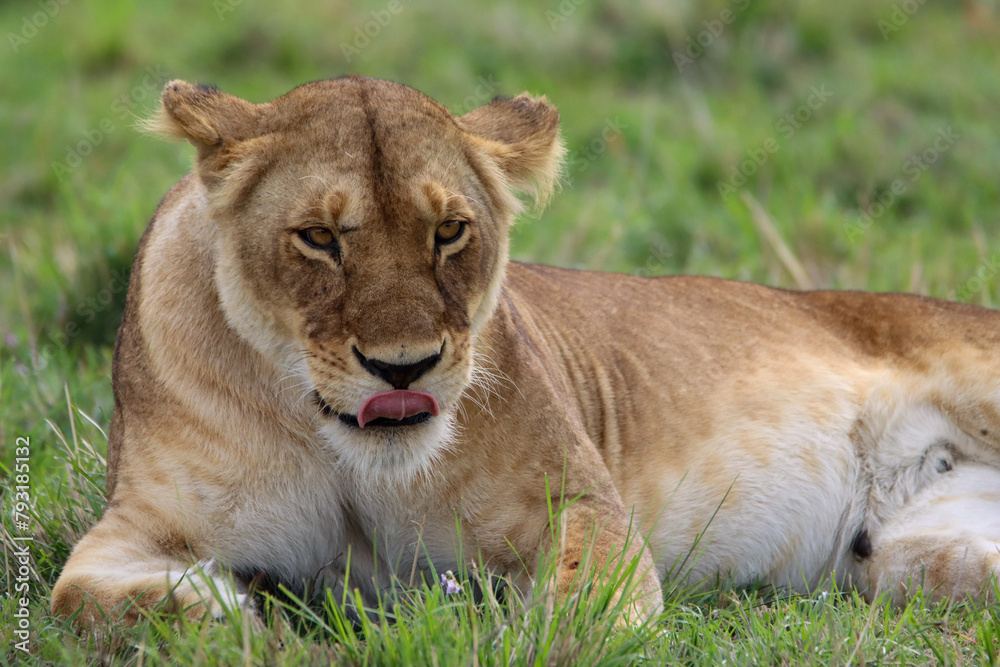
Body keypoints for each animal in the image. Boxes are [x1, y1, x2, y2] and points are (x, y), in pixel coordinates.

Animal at [52, 76, 1000, 628]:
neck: (348, 454)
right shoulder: (137, 522)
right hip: (918, 562)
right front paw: (236, 606)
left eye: (449, 231)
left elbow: (581, 610)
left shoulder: (584, 502)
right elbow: (79, 597)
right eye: (319, 237)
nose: (403, 368)